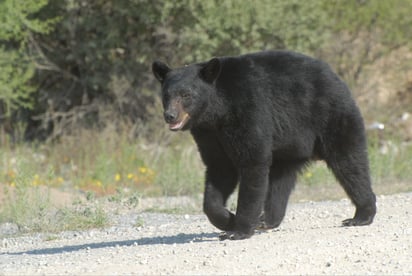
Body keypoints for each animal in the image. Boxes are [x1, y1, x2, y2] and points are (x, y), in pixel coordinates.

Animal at [152, 50, 376, 239]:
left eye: (186, 95)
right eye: (166, 95)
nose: (170, 116)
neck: (217, 112)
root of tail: (335, 76)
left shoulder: (248, 111)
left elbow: (253, 162)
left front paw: (239, 230)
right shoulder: (208, 134)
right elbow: (219, 169)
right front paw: (228, 219)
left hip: (331, 118)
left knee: (349, 163)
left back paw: (361, 215)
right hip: (289, 147)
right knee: (280, 181)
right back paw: (266, 220)